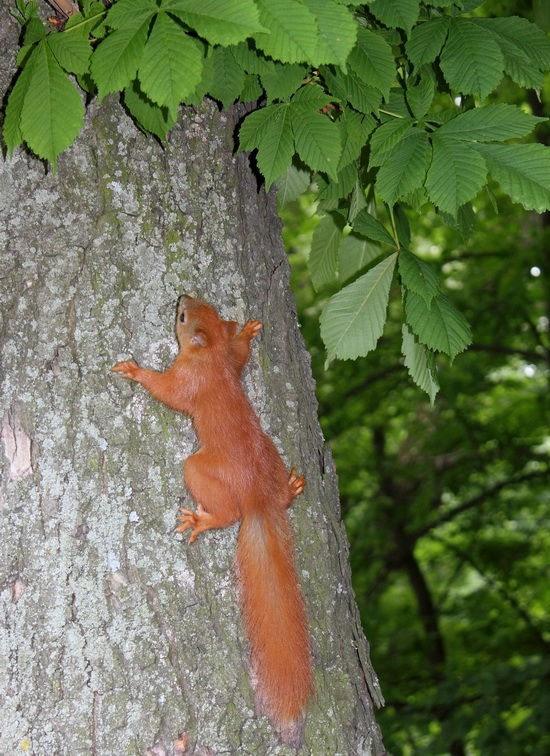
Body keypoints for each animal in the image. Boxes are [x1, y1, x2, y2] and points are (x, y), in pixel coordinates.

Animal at [112, 296, 312, 740]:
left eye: (183, 318)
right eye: (205, 305)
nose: (181, 295)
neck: (211, 356)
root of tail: (259, 497)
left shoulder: (186, 378)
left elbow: (167, 391)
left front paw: (135, 371)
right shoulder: (229, 363)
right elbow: (241, 357)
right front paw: (248, 332)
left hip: (200, 472)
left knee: (228, 512)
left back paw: (203, 521)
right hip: (273, 458)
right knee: (281, 496)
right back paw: (291, 490)